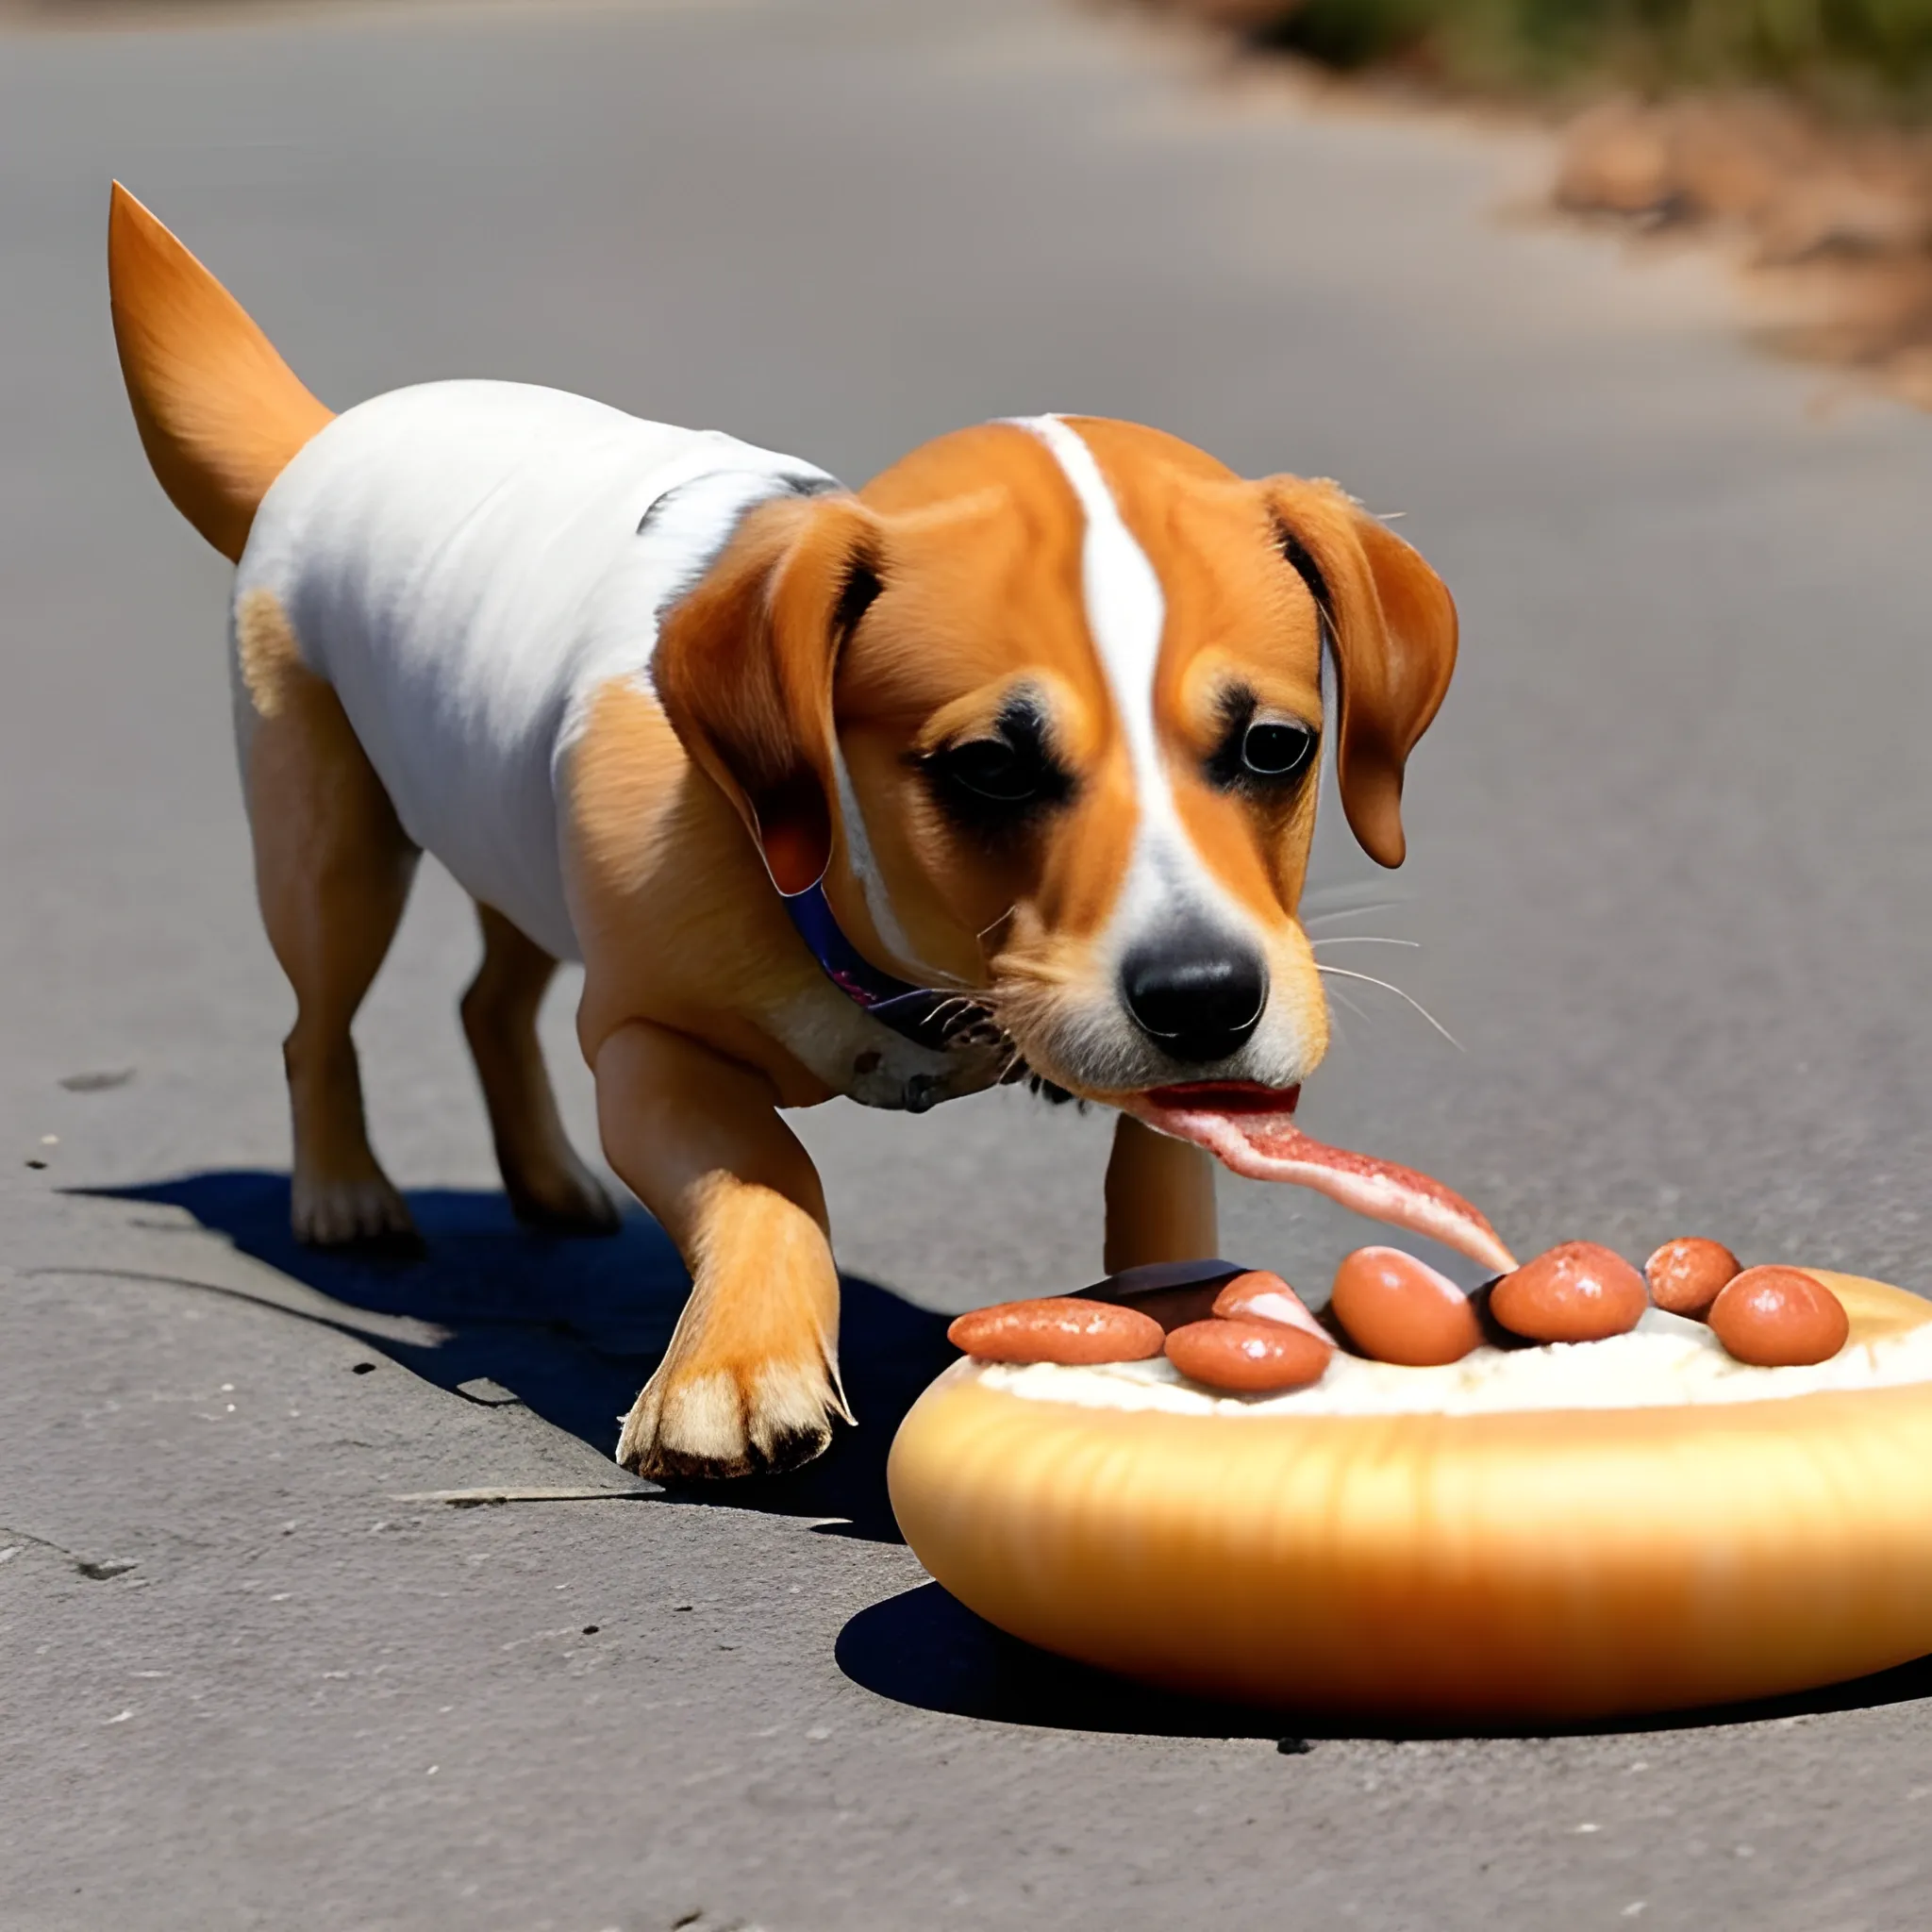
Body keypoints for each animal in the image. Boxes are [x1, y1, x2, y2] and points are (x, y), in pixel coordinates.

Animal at [106, 184, 1483, 1475]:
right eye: (988, 766)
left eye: (1275, 747)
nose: (1203, 999)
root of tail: (330, 433)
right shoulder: (647, 1045)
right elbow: (769, 1175)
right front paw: (734, 1368)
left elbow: (1160, 1179)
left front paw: (1188, 1318)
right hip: (328, 837)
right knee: (318, 1018)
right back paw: (346, 1194)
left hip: (503, 823)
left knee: (489, 998)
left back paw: (546, 1182)